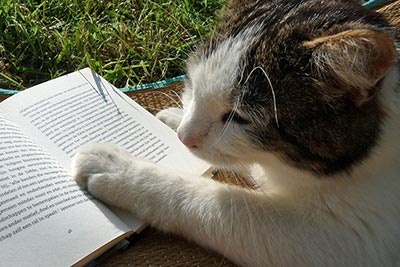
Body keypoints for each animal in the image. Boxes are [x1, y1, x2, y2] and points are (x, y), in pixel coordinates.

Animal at [72, 1, 400, 266]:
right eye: (193, 84)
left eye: (239, 117)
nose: (184, 137)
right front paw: (174, 117)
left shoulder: (344, 240)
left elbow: (221, 203)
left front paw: (121, 170)